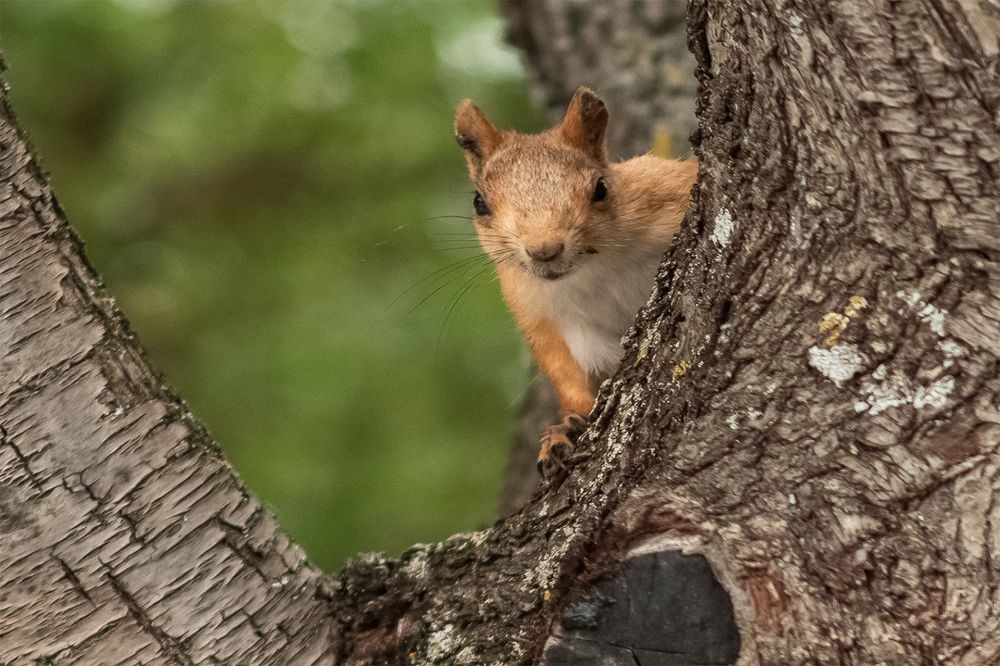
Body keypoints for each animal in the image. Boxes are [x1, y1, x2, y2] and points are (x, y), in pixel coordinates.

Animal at [454, 86, 697, 477]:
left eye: (600, 189)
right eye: (479, 203)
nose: (544, 250)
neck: (593, 267)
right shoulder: (539, 313)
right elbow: (566, 372)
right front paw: (562, 431)